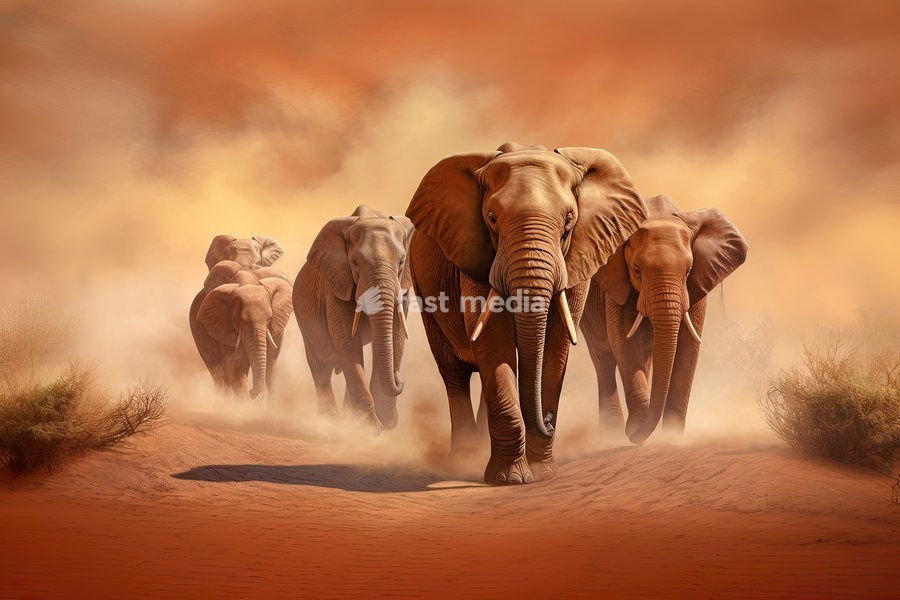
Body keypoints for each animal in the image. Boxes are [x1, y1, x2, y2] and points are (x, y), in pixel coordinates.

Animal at [293, 205, 414, 431]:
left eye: (402, 261)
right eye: (355, 263)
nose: (399, 378)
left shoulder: (403, 286)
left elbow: (396, 336)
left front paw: (385, 423)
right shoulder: (336, 283)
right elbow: (347, 342)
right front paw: (372, 429)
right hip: (304, 321)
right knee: (321, 368)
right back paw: (330, 423)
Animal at [405, 142, 646, 484]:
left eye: (569, 221)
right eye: (491, 218)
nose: (548, 418)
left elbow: (556, 347)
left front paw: (543, 473)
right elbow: (495, 342)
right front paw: (510, 480)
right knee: (454, 373)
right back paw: (462, 461)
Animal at [581, 195, 748, 444]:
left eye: (688, 270)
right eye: (637, 270)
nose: (634, 435)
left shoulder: (696, 286)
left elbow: (688, 345)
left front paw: (671, 437)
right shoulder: (617, 283)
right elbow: (623, 338)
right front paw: (636, 428)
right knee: (603, 359)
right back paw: (611, 435)